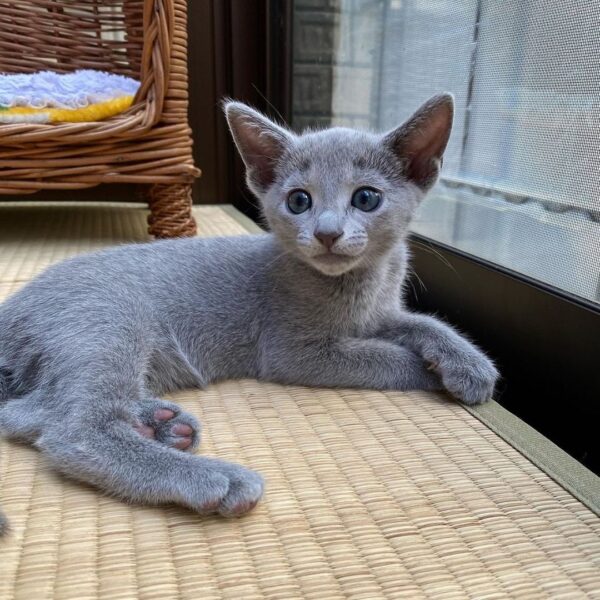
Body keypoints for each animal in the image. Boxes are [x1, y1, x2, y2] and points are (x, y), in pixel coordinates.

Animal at [0, 92, 500, 528]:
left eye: (366, 198)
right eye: (299, 200)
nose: (327, 233)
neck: (359, 288)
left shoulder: (382, 313)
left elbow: (422, 322)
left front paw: (467, 364)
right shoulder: (294, 352)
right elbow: (384, 357)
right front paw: (433, 373)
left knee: (31, 411)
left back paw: (162, 426)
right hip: (104, 323)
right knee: (72, 430)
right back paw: (211, 476)